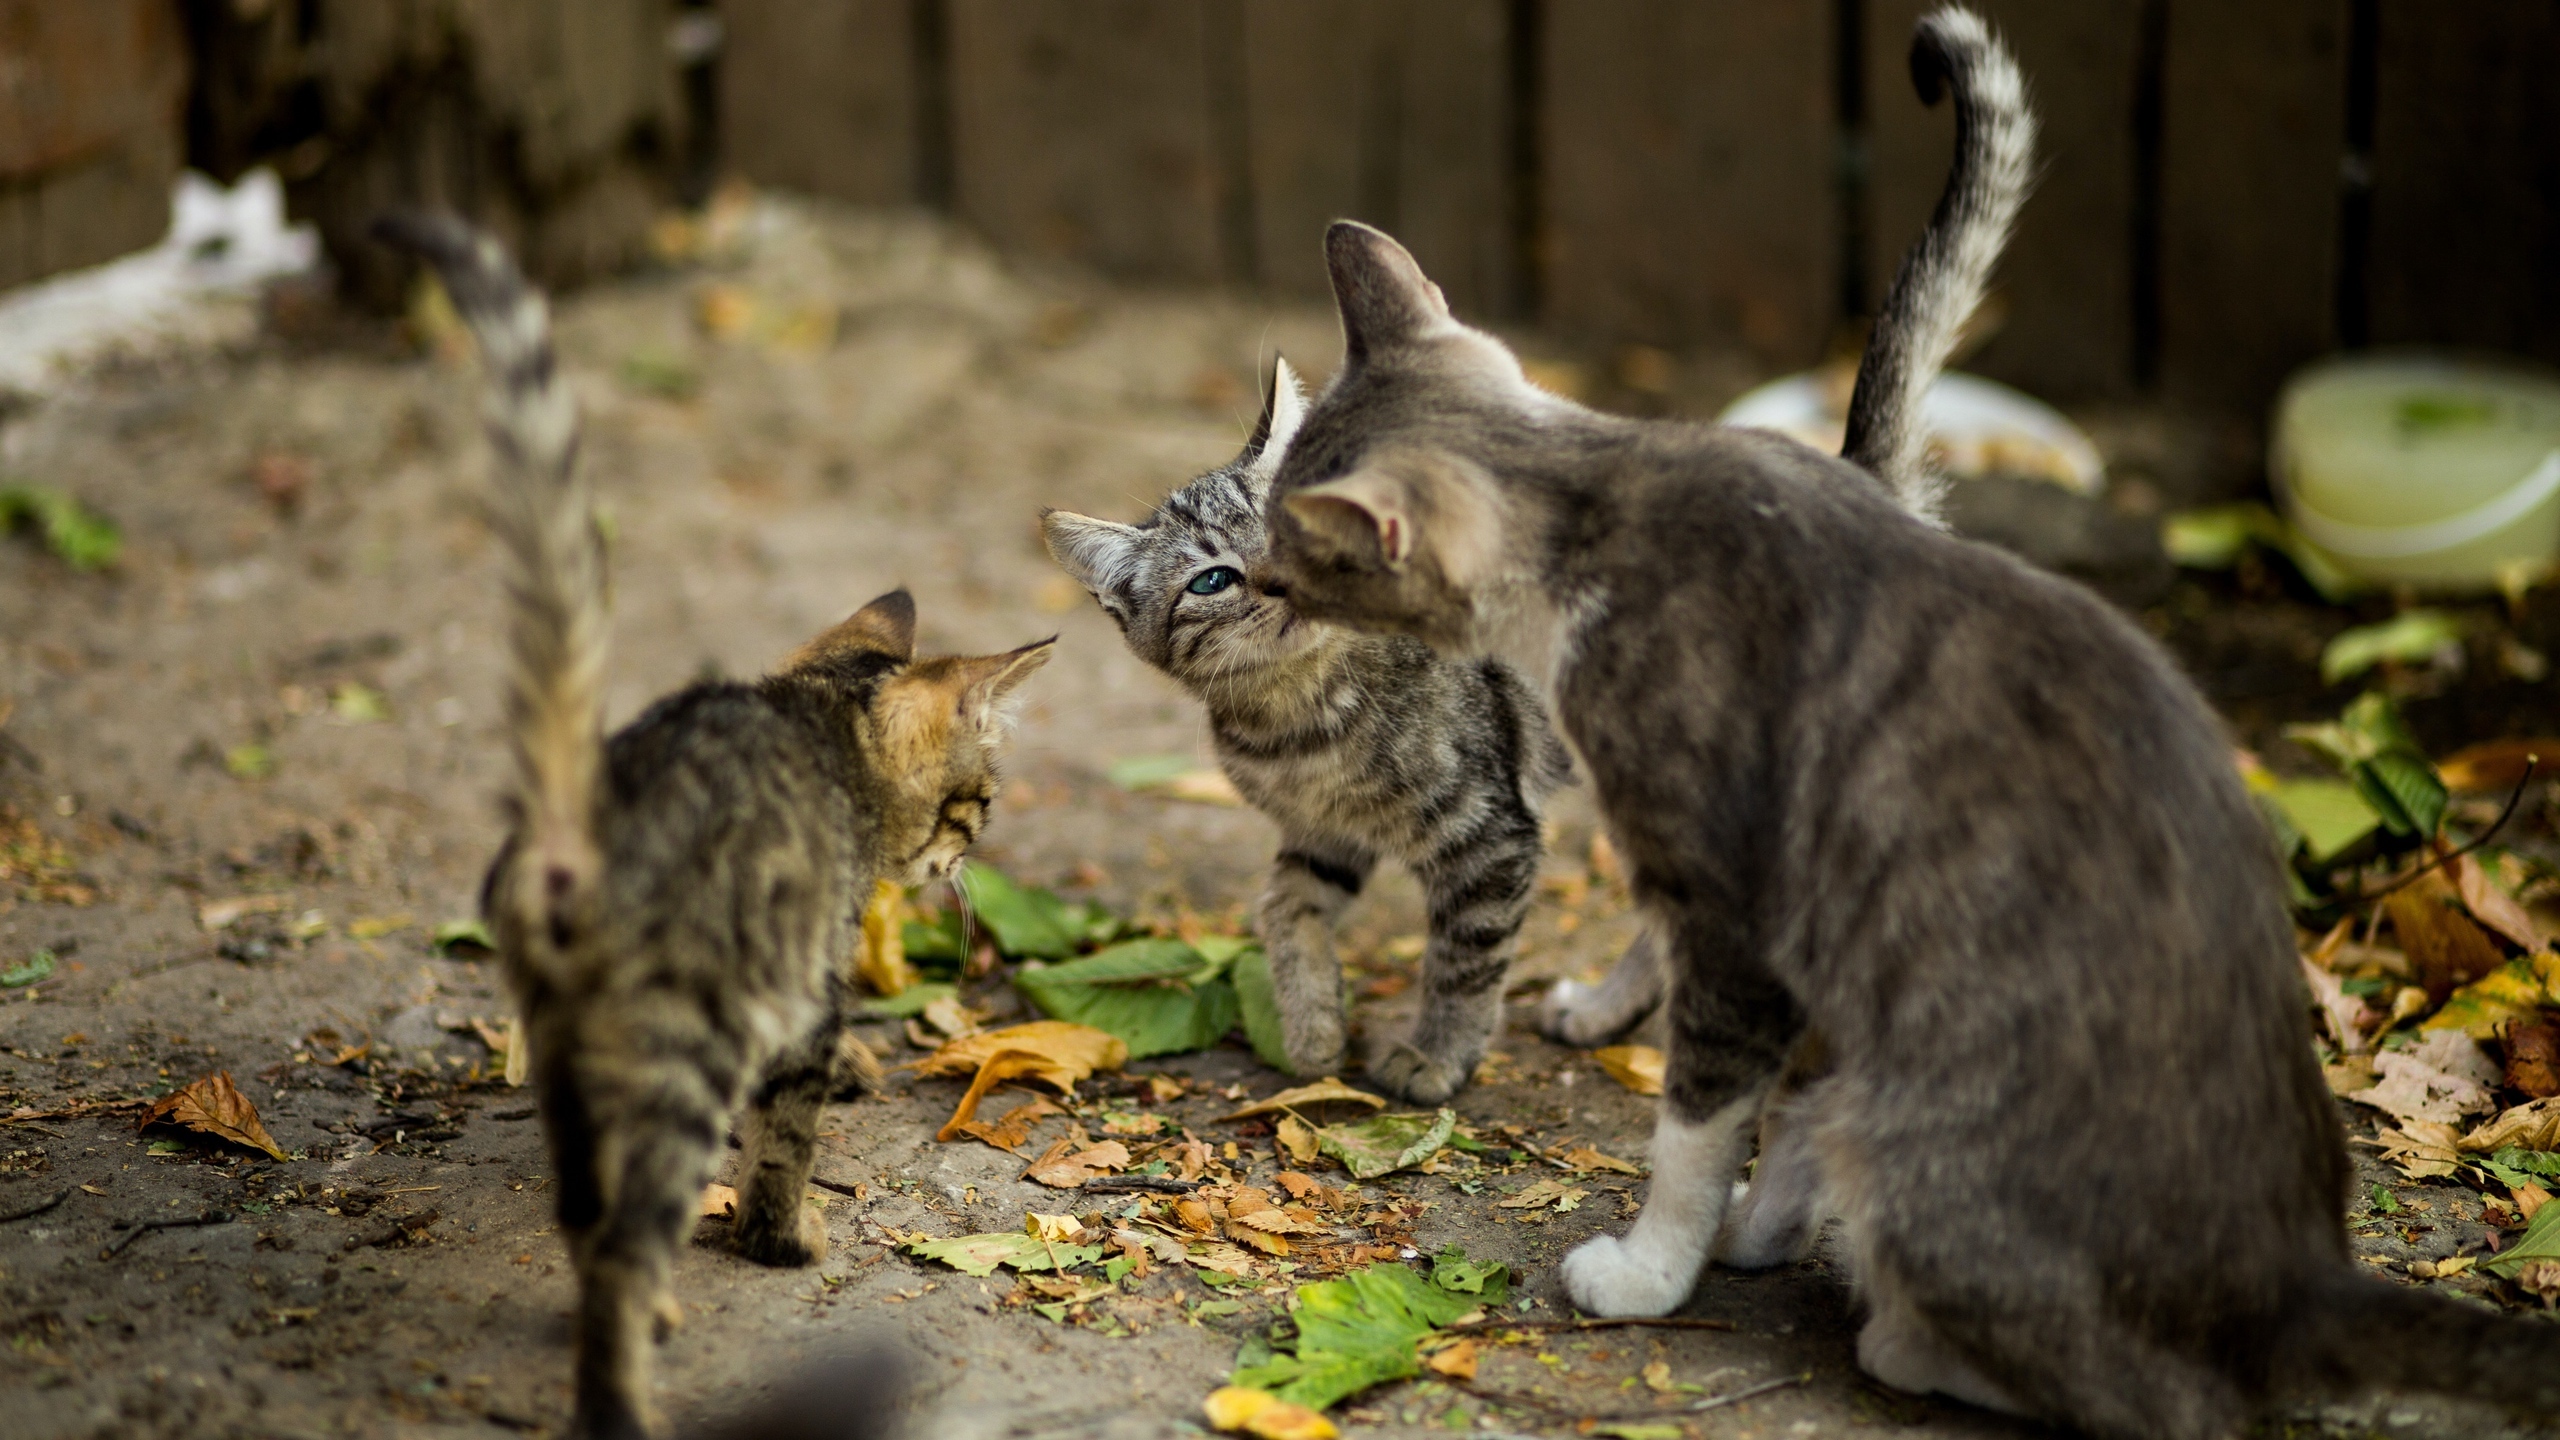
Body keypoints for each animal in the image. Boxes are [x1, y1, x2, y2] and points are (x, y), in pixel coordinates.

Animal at [373, 212, 1049, 1434]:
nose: (968, 854)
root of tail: (578, 825)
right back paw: (626, 1395)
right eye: (979, 803)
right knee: (624, 1243)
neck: (819, 722)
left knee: (585, 1215)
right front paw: (782, 1236)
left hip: (563, 1052)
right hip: (683, 1049)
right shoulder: (804, 985)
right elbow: (788, 1136)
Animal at [1029, 0, 2027, 1086]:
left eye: (1302, 529)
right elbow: (1282, 904)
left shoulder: (1487, 833)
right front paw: (1309, 1026)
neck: (1298, 720)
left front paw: (1434, 1059)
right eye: (1211, 580)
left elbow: (1463, 958)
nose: (1283, 585)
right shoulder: (1322, 835)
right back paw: (1610, 1011)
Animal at [1254, 14, 2560, 1434]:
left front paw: (1651, 1270)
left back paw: (1890, 1327)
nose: (1253, 588)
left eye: (1289, 556)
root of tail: (2299, 1284)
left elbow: (1696, 1123)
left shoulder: (1742, 906)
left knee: (2151, 1395)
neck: (1601, 493)